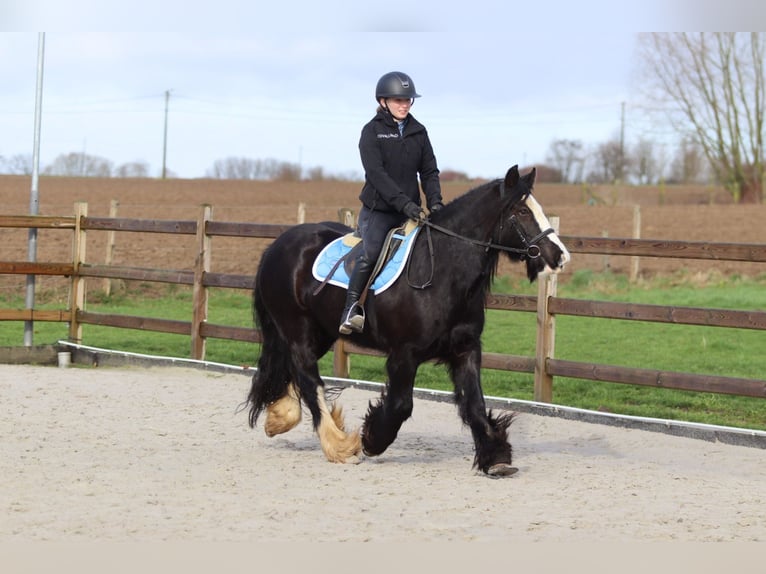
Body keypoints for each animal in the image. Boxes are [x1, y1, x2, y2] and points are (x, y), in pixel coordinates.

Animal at [245, 165, 570, 477]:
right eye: (522, 211)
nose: (560, 256)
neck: (441, 273)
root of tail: (277, 245)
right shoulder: (404, 354)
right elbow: (402, 405)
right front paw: (372, 439)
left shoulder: (466, 349)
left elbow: (475, 404)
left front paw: (496, 459)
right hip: (297, 329)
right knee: (309, 380)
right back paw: (339, 445)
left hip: (321, 333)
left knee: (295, 372)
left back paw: (282, 419)